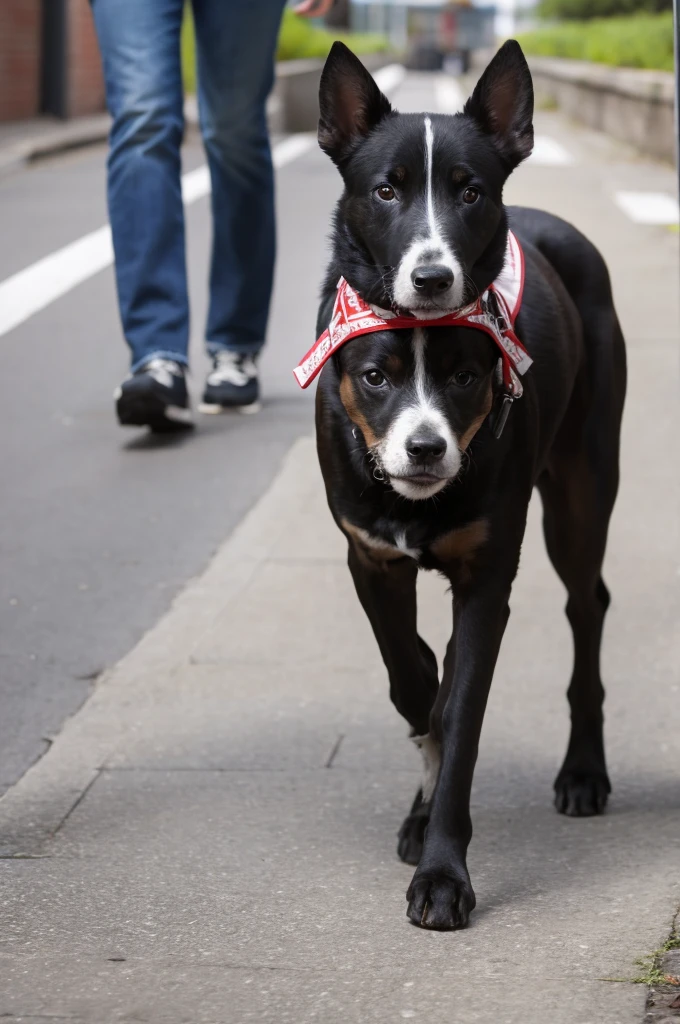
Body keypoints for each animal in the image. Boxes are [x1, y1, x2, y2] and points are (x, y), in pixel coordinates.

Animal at [305, 44, 622, 933]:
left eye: (470, 190)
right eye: (386, 189)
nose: (432, 273)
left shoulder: (487, 577)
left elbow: (461, 709)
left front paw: (443, 874)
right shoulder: (370, 557)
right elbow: (413, 679)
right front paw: (423, 795)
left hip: (583, 485)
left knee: (588, 604)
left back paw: (583, 772)